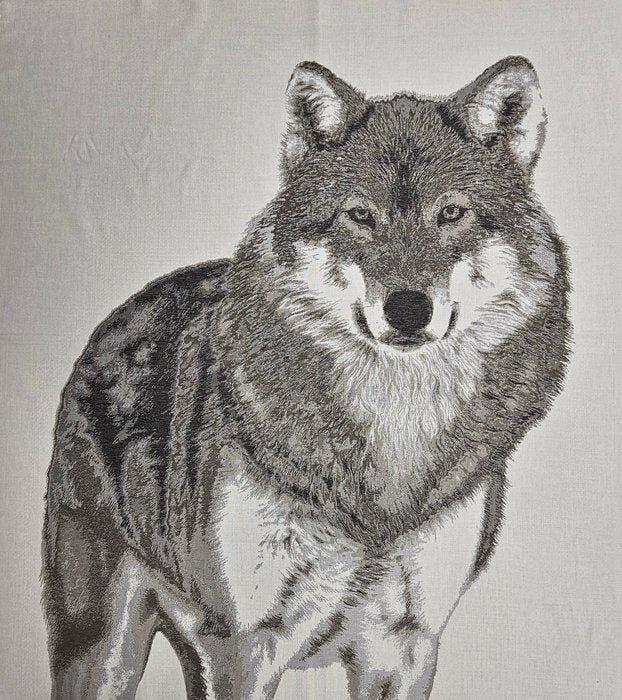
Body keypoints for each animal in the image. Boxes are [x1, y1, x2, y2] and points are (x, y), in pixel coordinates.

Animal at [42, 56, 570, 699]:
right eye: (359, 216)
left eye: (452, 213)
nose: (408, 309)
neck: (392, 435)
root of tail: (118, 314)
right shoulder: (243, 645)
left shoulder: (407, 648)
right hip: (103, 652)